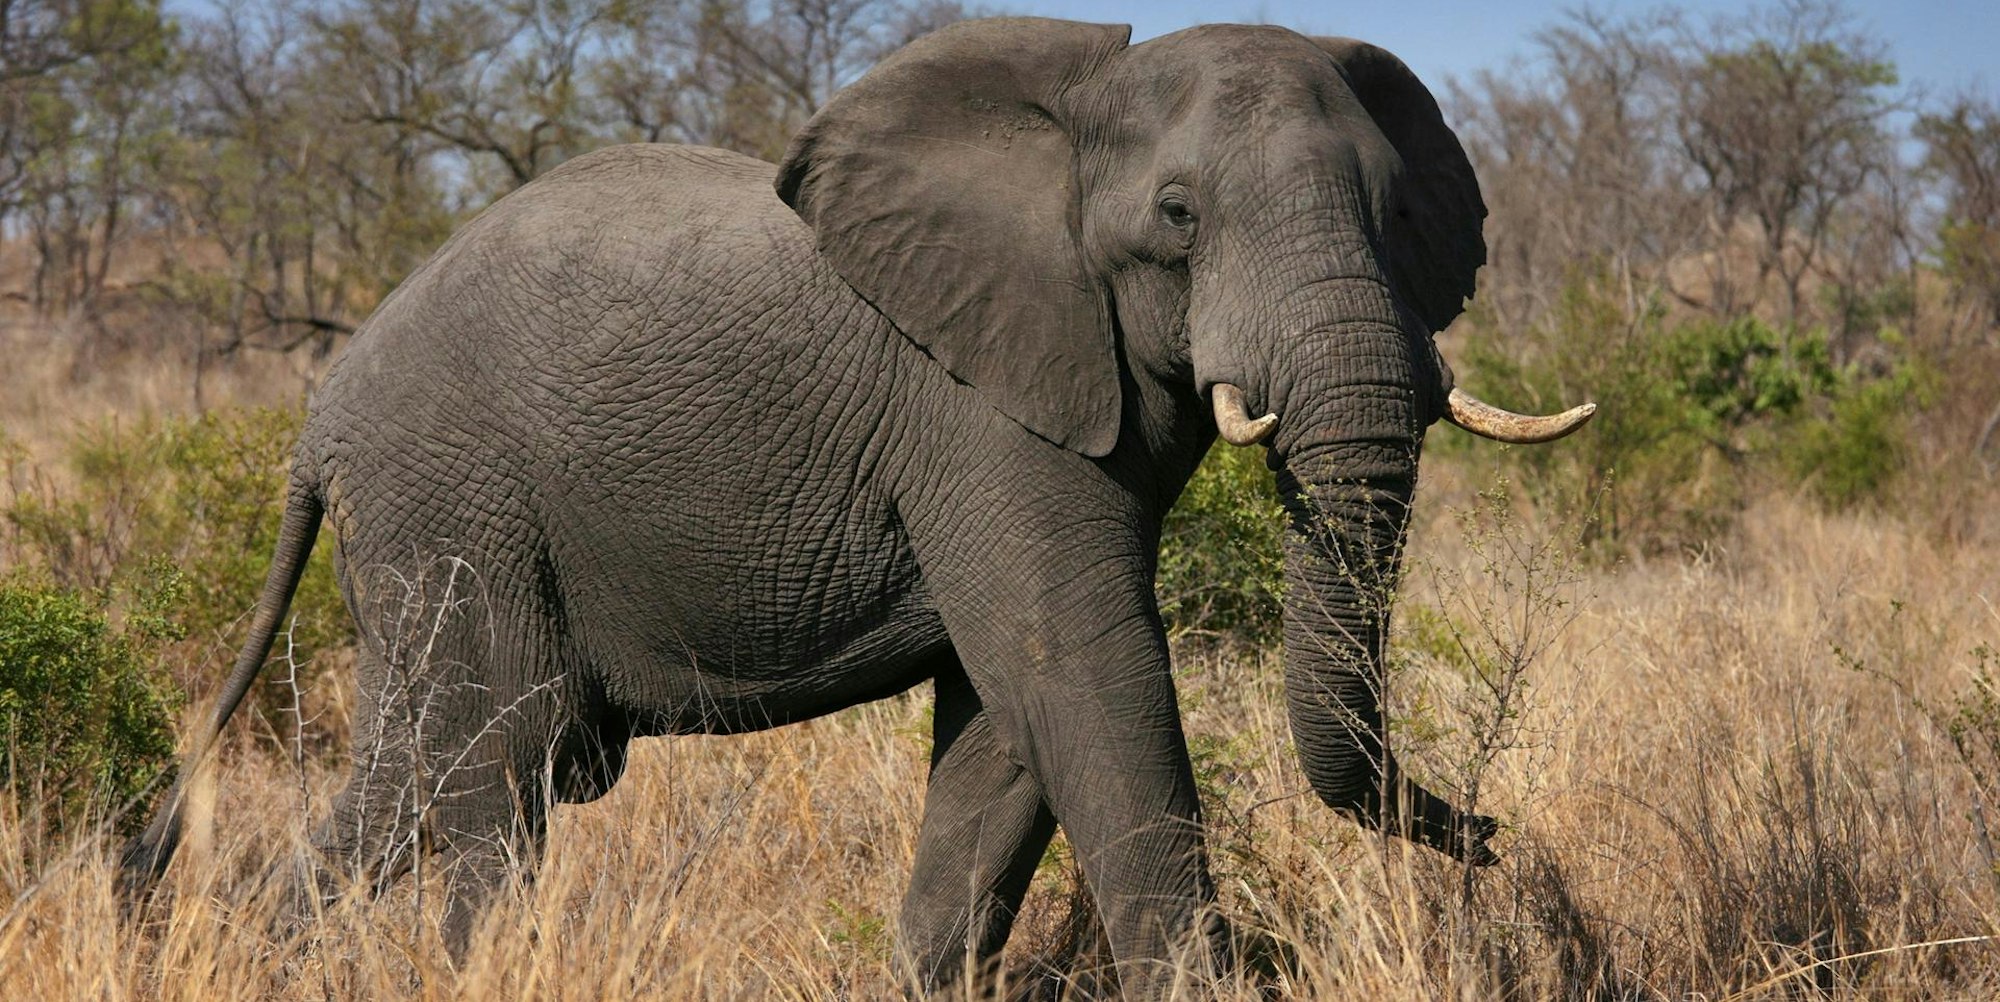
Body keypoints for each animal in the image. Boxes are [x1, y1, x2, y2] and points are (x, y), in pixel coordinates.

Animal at [120, 16, 1593, 996]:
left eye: (1398, 213)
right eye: (1178, 216)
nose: (1485, 832)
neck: (1072, 103)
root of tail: (317, 421)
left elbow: (1005, 725)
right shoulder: (975, 402)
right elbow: (1080, 665)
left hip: (428, 528)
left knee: (404, 776)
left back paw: (251, 954)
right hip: (458, 502)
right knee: (501, 765)